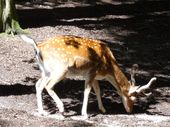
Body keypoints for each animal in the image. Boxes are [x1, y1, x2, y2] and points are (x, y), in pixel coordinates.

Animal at [19, 34, 157, 119]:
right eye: (132, 98)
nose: (130, 110)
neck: (108, 68)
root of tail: (38, 47)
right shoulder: (92, 72)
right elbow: (87, 91)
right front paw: (84, 114)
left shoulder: (95, 76)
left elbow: (98, 90)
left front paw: (103, 109)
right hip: (60, 69)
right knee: (48, 85)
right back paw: (62, 109)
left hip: (45, 71)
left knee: (38, 85)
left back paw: (42, 111)